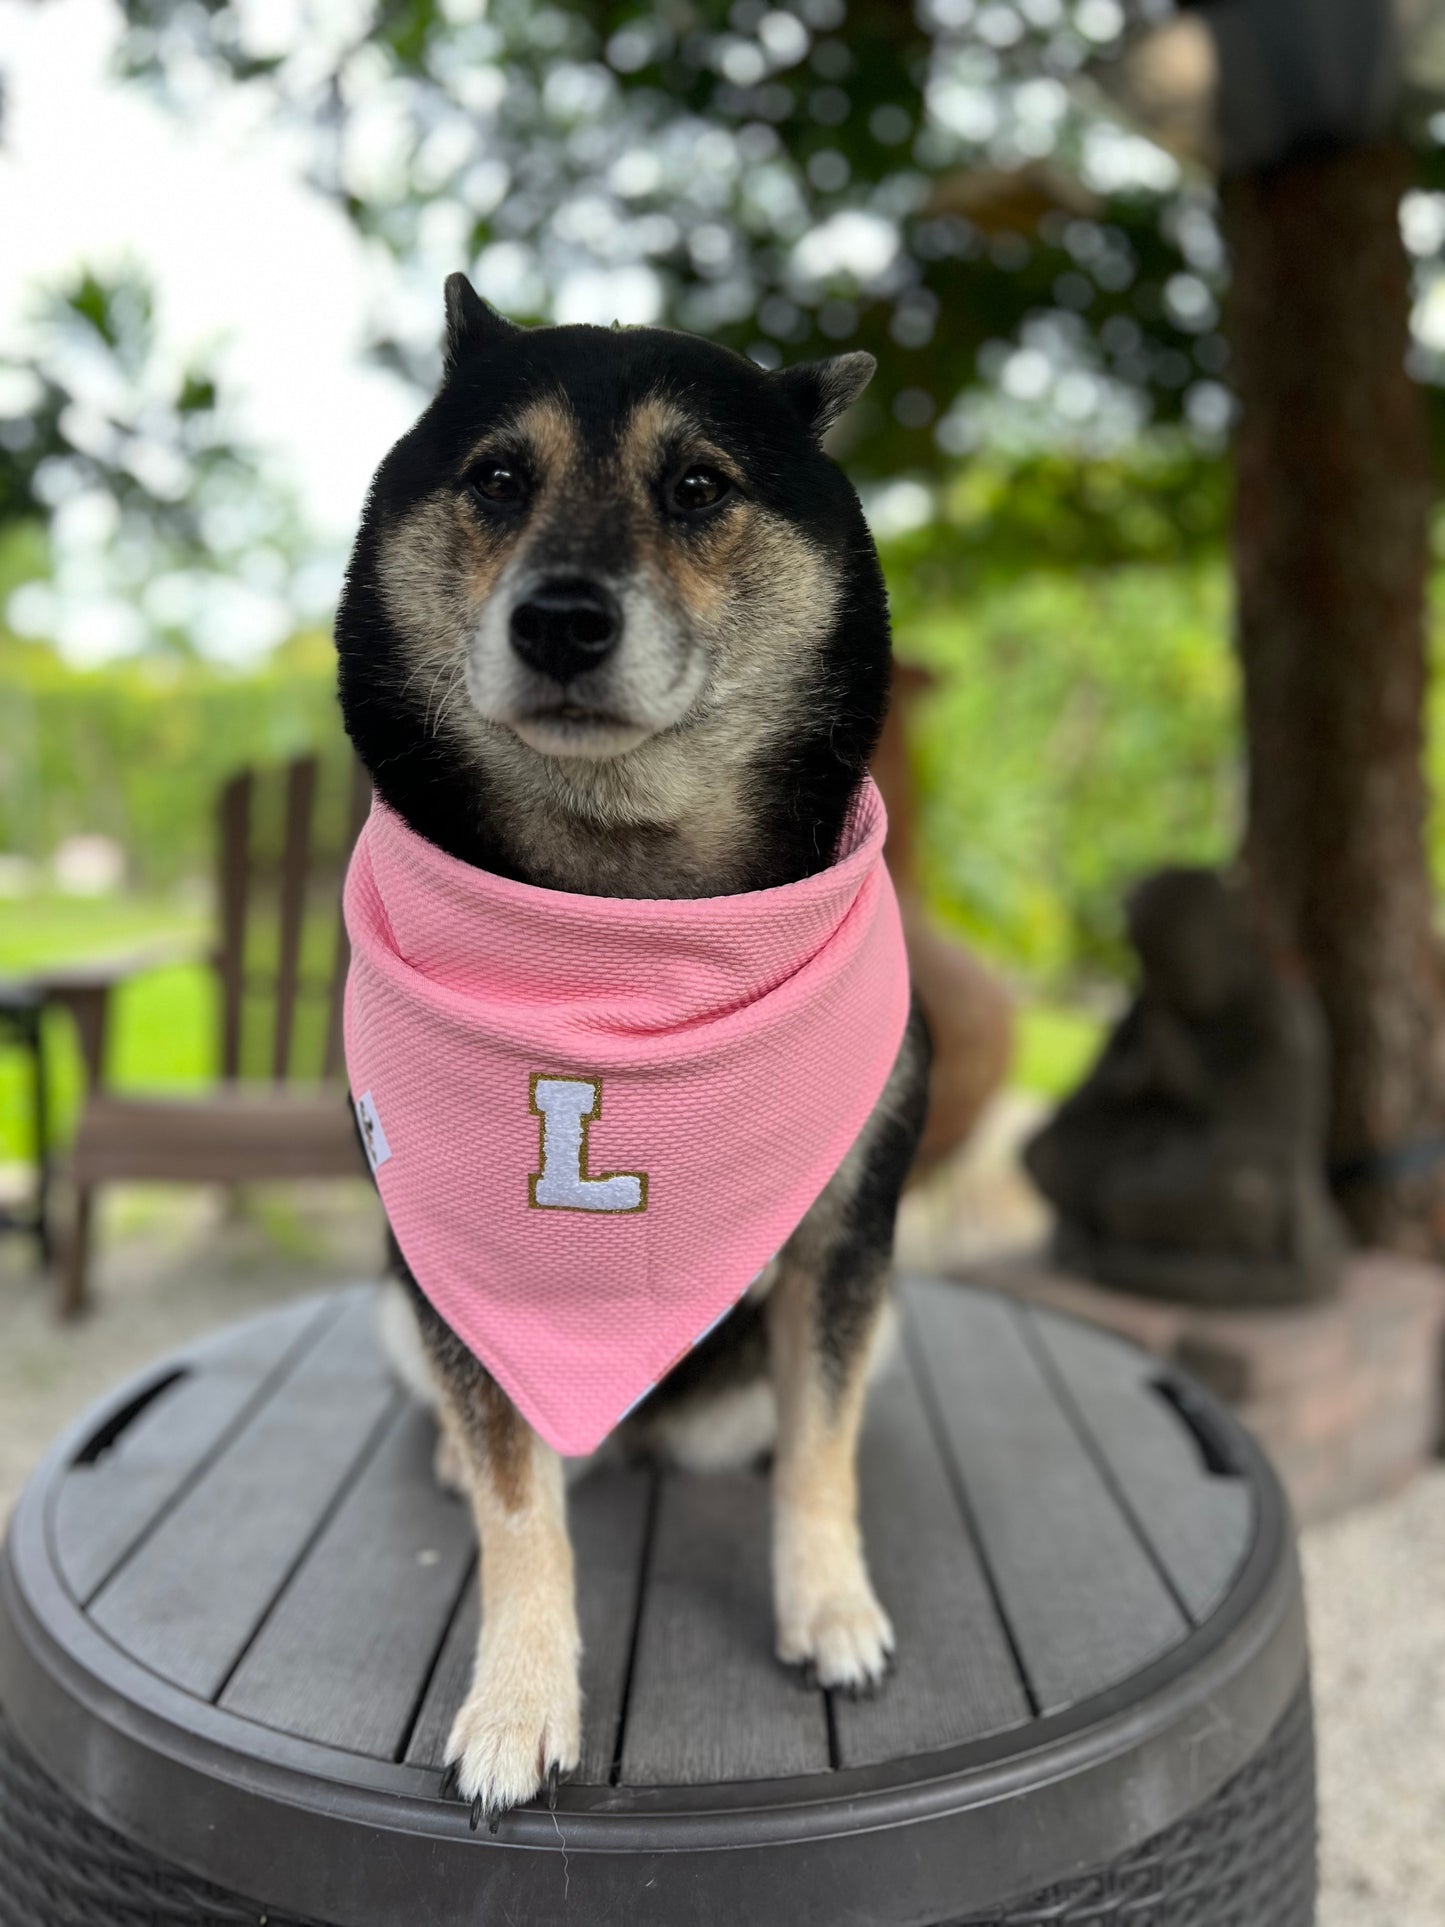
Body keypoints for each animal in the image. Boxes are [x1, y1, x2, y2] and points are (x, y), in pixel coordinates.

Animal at [335, 271, 932, 1819]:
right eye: (496, 478)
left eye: (698, 487)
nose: (559, 620)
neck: (622, 921)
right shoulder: (459, 1275)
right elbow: (516, 1508)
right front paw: (518, 1699)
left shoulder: (846, 1237)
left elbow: (824, 1448)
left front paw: (829, 1605)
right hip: (391, 1292)